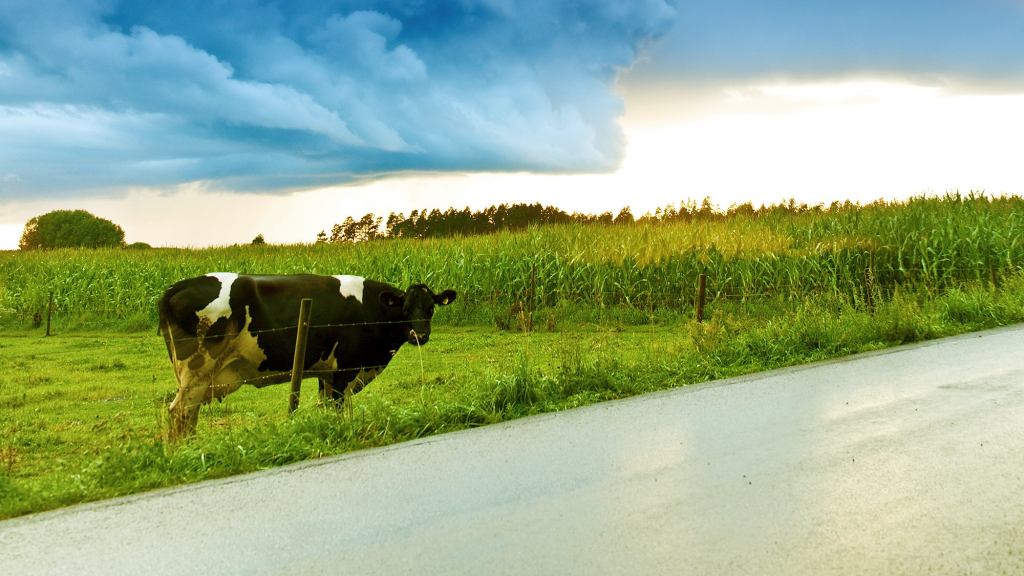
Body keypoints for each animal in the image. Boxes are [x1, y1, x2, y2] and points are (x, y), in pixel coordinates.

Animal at [156, 270, 456, 436]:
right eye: (405, 309)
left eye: (431, 308)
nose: (419, 335)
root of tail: (178, 286)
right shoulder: (345, 370)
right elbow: (339, 409)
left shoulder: (327, 373)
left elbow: (327, 408)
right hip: (197, 369)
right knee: (180, 413)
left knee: (188, 415)